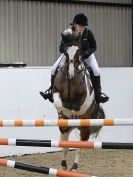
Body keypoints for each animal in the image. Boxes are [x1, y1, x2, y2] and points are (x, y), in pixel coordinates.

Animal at [52, 30, 105, 171]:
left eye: (79, 51)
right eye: (65, 51)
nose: (71, 73)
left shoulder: (83, 97)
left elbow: (76, 105)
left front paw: (73, 112)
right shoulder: (56, 91)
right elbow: (58, 102)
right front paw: (61, 111)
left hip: (85, 127)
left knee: (79, 147)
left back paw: (74, 167)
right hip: (65, 129)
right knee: (65, 144)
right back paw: (63, 166)